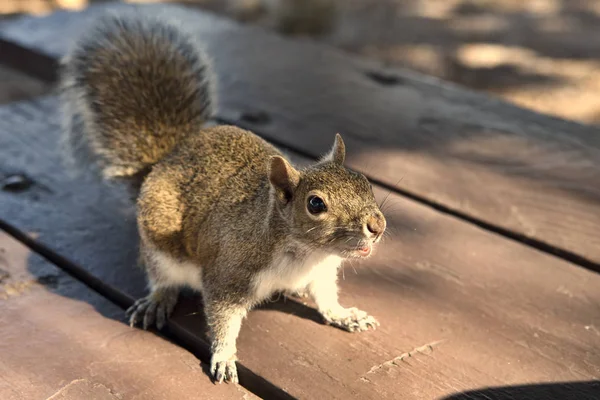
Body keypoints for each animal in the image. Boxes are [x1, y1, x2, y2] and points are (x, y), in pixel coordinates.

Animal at [59, 13, 384, 384]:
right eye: (316, 204)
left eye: (365, 182)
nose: (377, 225)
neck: (304, 254)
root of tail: (168, 158)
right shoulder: (229, 272)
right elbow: (223, 317)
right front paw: (225, 356)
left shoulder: (321, 273)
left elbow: (326, 298)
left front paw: (344, 315)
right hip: (159, 246)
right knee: (161, 277)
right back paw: (157, 299)